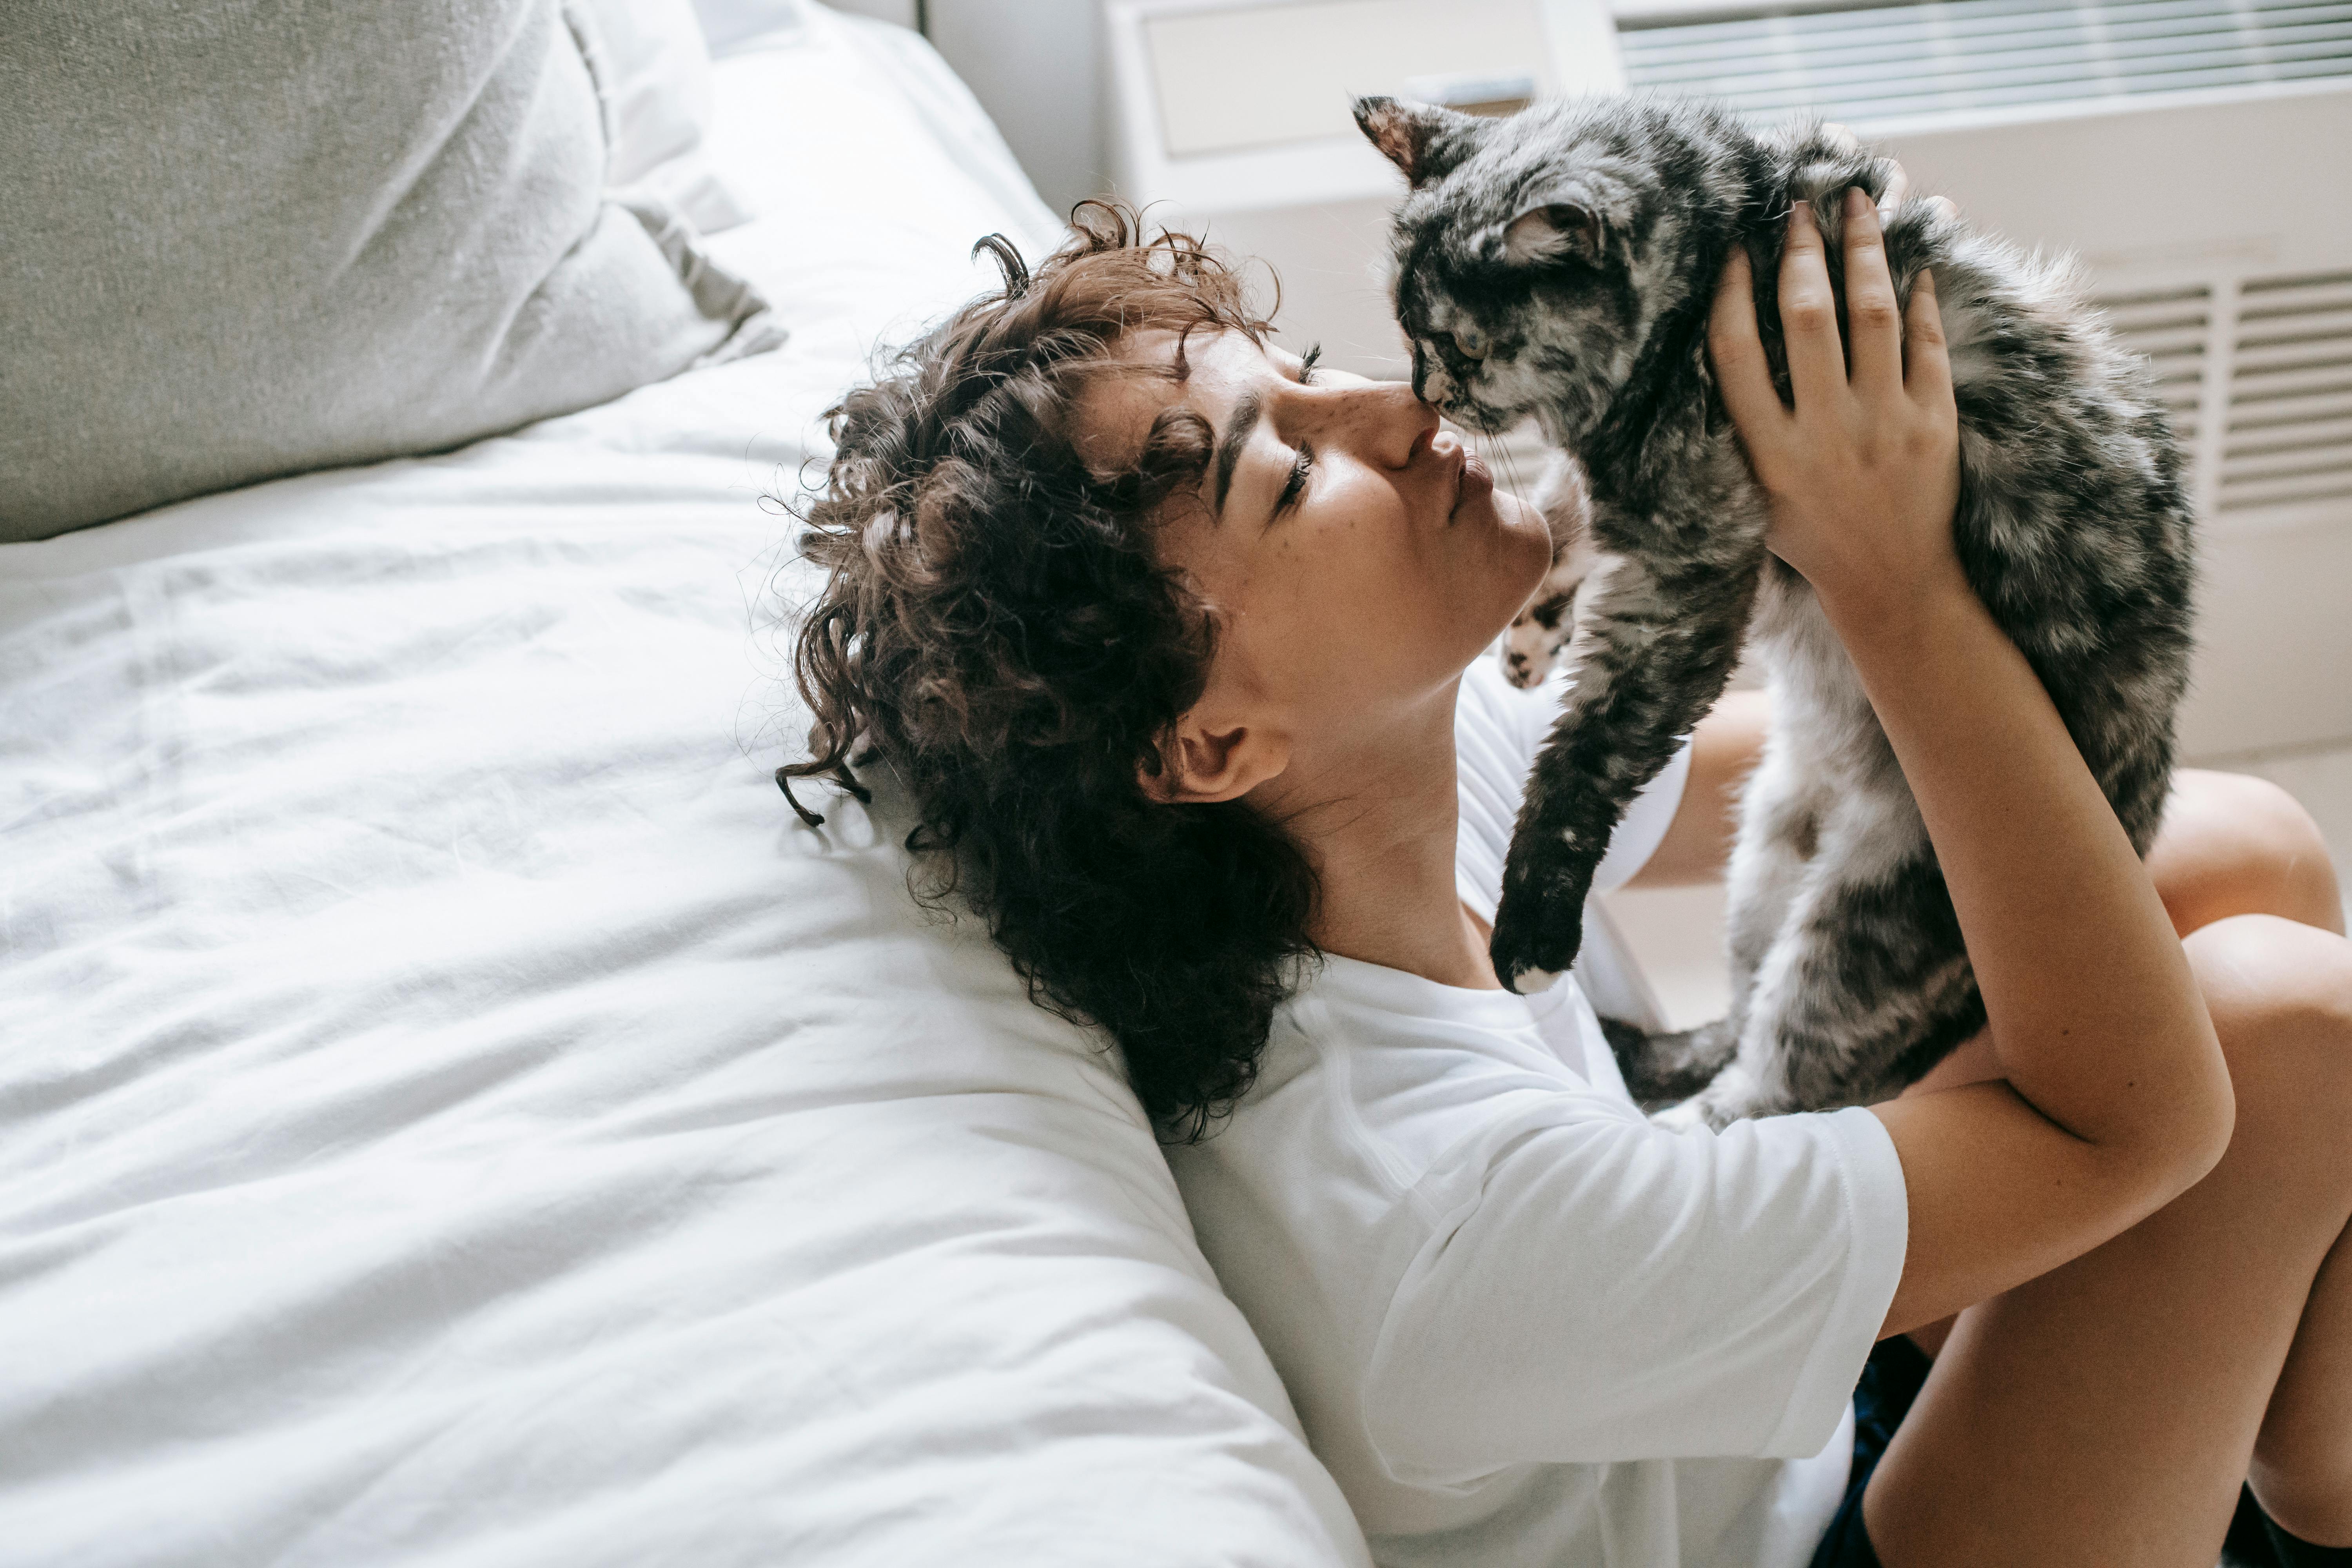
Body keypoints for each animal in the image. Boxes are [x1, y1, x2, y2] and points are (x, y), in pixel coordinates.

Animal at [1355, 95, 2192, 1128]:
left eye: (1463, 345)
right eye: (1408, 332)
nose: (1427, 395)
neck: (1729, 232)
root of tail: (2139, 826)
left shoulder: (1688, 571)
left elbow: (1583, 758)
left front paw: (1531, 930)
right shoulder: (1635, 492)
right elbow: (1558, 516)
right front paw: (1531, 641)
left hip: (1863, 925)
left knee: (1778, 1084)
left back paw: (1684, 1119)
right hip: (1763, 864)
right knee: (1745, 1016)